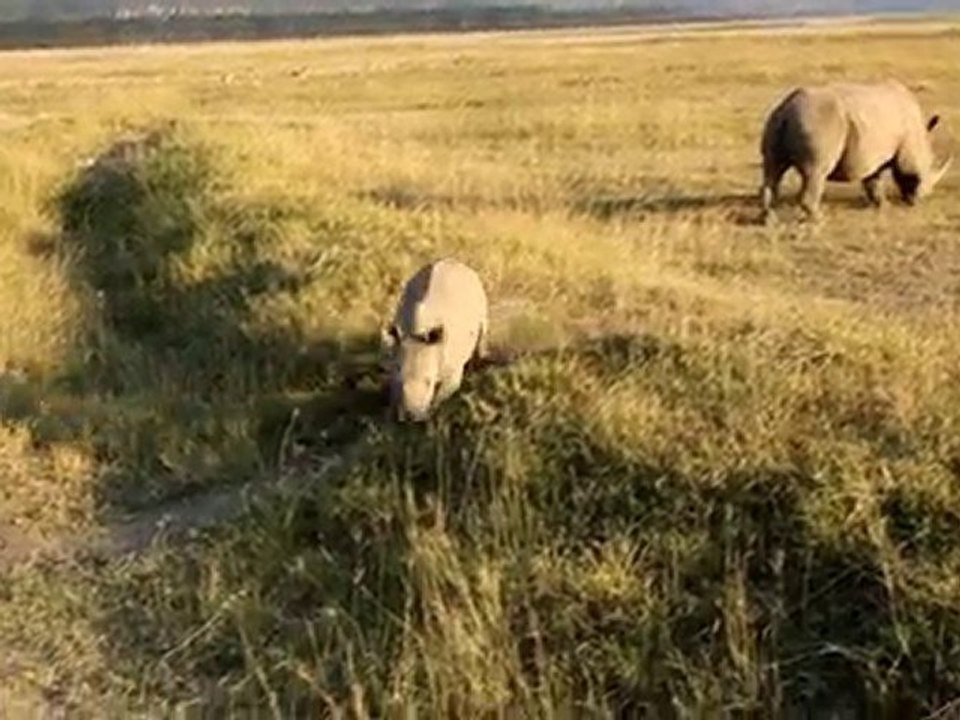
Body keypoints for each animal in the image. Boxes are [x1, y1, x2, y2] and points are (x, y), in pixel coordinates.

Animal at [382, 258, 489, 422]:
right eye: (400, 380)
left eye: (429, 382)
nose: (409, 416)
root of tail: (455, 261)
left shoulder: (452, 368)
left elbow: (442, 395)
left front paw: (431, 415)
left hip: (478, 291)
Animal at [760, 80, 952, 221]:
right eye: (924, 176)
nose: (918, 200)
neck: (921, 138)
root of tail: (788, 107)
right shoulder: (902, 149)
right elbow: (880, 177)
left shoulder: (872, 155)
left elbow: (873, 180)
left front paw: (883, 206)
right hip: (817, 122)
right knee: (816, 172)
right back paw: (819, 219)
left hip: (775, 120)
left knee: (772, 170)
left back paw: (769, 220)